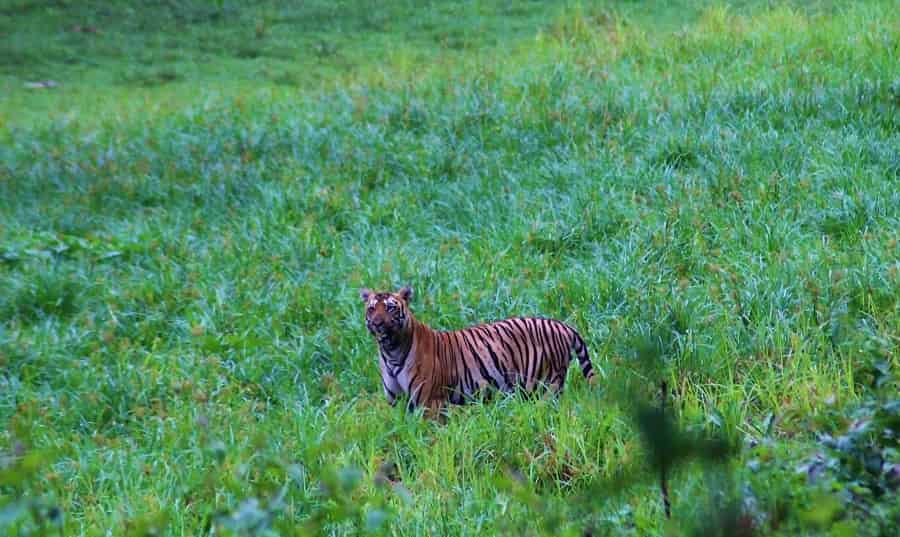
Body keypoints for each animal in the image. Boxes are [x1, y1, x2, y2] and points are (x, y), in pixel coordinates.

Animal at [360, 285, 596, 416]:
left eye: (390, 307)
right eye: (372, 308)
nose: (378, 323)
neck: (391, 351)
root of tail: (563, 325)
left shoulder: (430, 403)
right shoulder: (397, 403)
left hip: (545, 387)